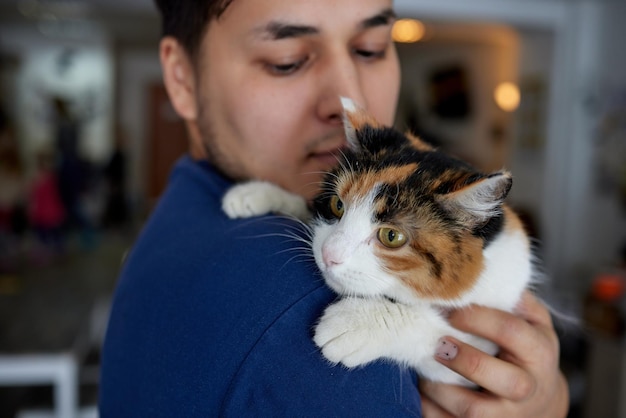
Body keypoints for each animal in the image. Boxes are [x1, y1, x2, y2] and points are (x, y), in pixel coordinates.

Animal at [219, 98, 532, 386]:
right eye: (337, 205)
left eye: (391, 236)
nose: (329, 254)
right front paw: (255, 194)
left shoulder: (487, 344)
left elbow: (449, 342)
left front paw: (355, 325)